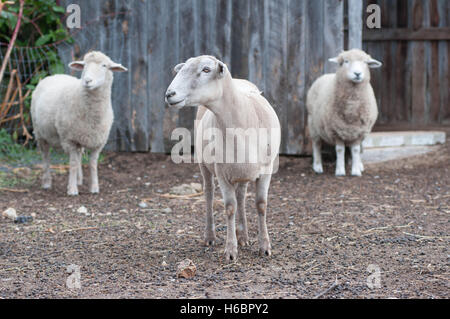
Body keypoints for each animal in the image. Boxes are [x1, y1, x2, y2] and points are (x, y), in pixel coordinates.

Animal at [31, 51, 126, 196]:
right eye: (84, 65)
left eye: (104, 65)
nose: (87, 80)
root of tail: (54, 75)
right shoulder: (69, 139)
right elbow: (73, 163)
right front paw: (72, 189)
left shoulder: (98, 141)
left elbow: (92, 164)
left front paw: (94, 188)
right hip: (40, 133)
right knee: (46, 156)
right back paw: (47, 183)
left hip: (80, 136)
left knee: (79, 155)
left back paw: (79, 180)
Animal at [165, 56, 280, 262]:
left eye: (206, 69)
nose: (169, 94)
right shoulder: (222, 172)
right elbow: (229, 208)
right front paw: (230, 250)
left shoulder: (266, 169)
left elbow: (261, 205)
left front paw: (264, 246)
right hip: (204, 164)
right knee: (209, 194)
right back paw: (210, 236)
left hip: (243, 171)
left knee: (241, 196)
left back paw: (244, 236)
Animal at [304, 48, 382, 176]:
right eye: (346, 61)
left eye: (365, 62)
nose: (357, 74)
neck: (352, 107)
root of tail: (326, 74)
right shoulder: (336, 130)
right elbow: (340, 150)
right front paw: (340, 170)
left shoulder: (359, 131)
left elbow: (355, 150)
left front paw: (355, 170)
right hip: (313, 125)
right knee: (317, 145)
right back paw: (317, 166)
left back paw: (359, 164)